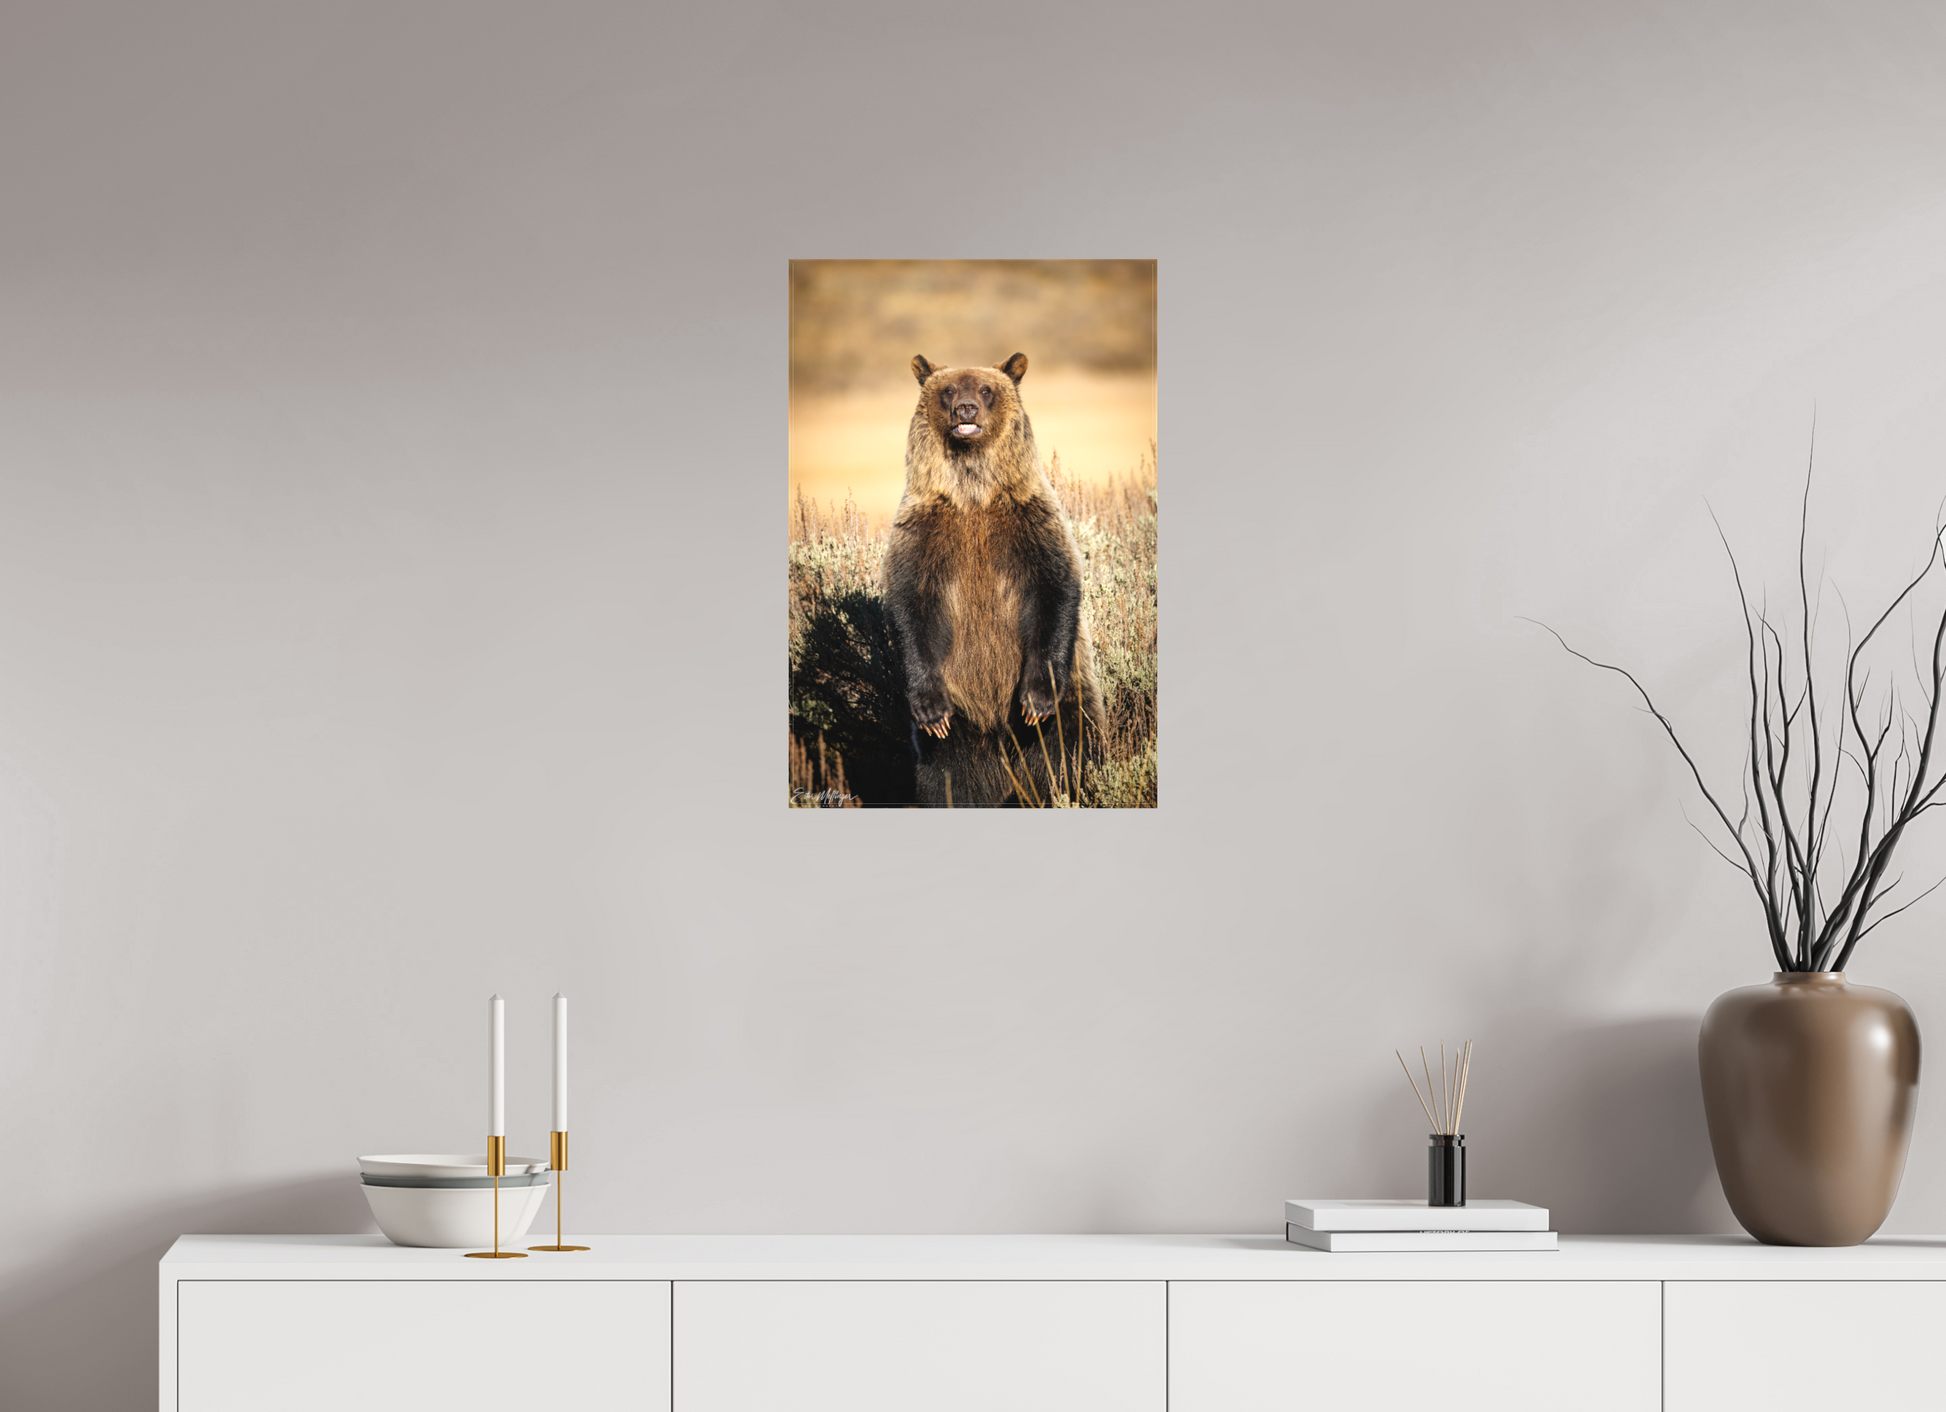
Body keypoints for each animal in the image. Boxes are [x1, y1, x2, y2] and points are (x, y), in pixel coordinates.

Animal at [883, 352, 1105, 806]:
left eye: (986, 389)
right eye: (949, 389)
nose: (966, 409)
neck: (974, 493)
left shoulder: (1029, 519)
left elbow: (1056, 587)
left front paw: (1036, 700)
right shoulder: (924, 530)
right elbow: (910, 603)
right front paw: (930, 709)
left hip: (1072, 703)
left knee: (1067, 753)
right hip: (960, 729)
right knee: (946, 776)